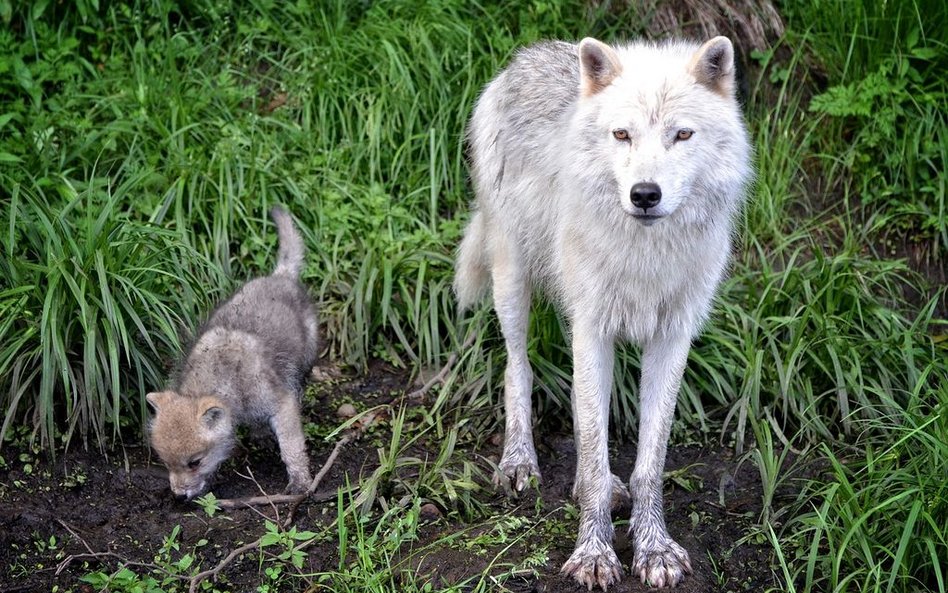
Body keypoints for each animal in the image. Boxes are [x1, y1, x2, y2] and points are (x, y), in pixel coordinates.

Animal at [456, 37, 752, 588]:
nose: (645, 194)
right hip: (512, 278)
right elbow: (595, 446)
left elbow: (648, 459)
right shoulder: (593, 327)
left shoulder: (671, 336)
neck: (645, 253)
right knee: (517, 367)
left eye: (682, 134)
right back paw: (518, 461)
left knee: (578, 398)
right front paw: (593, 554)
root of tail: (525, 57)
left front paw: (653, 548)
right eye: (622, 134)